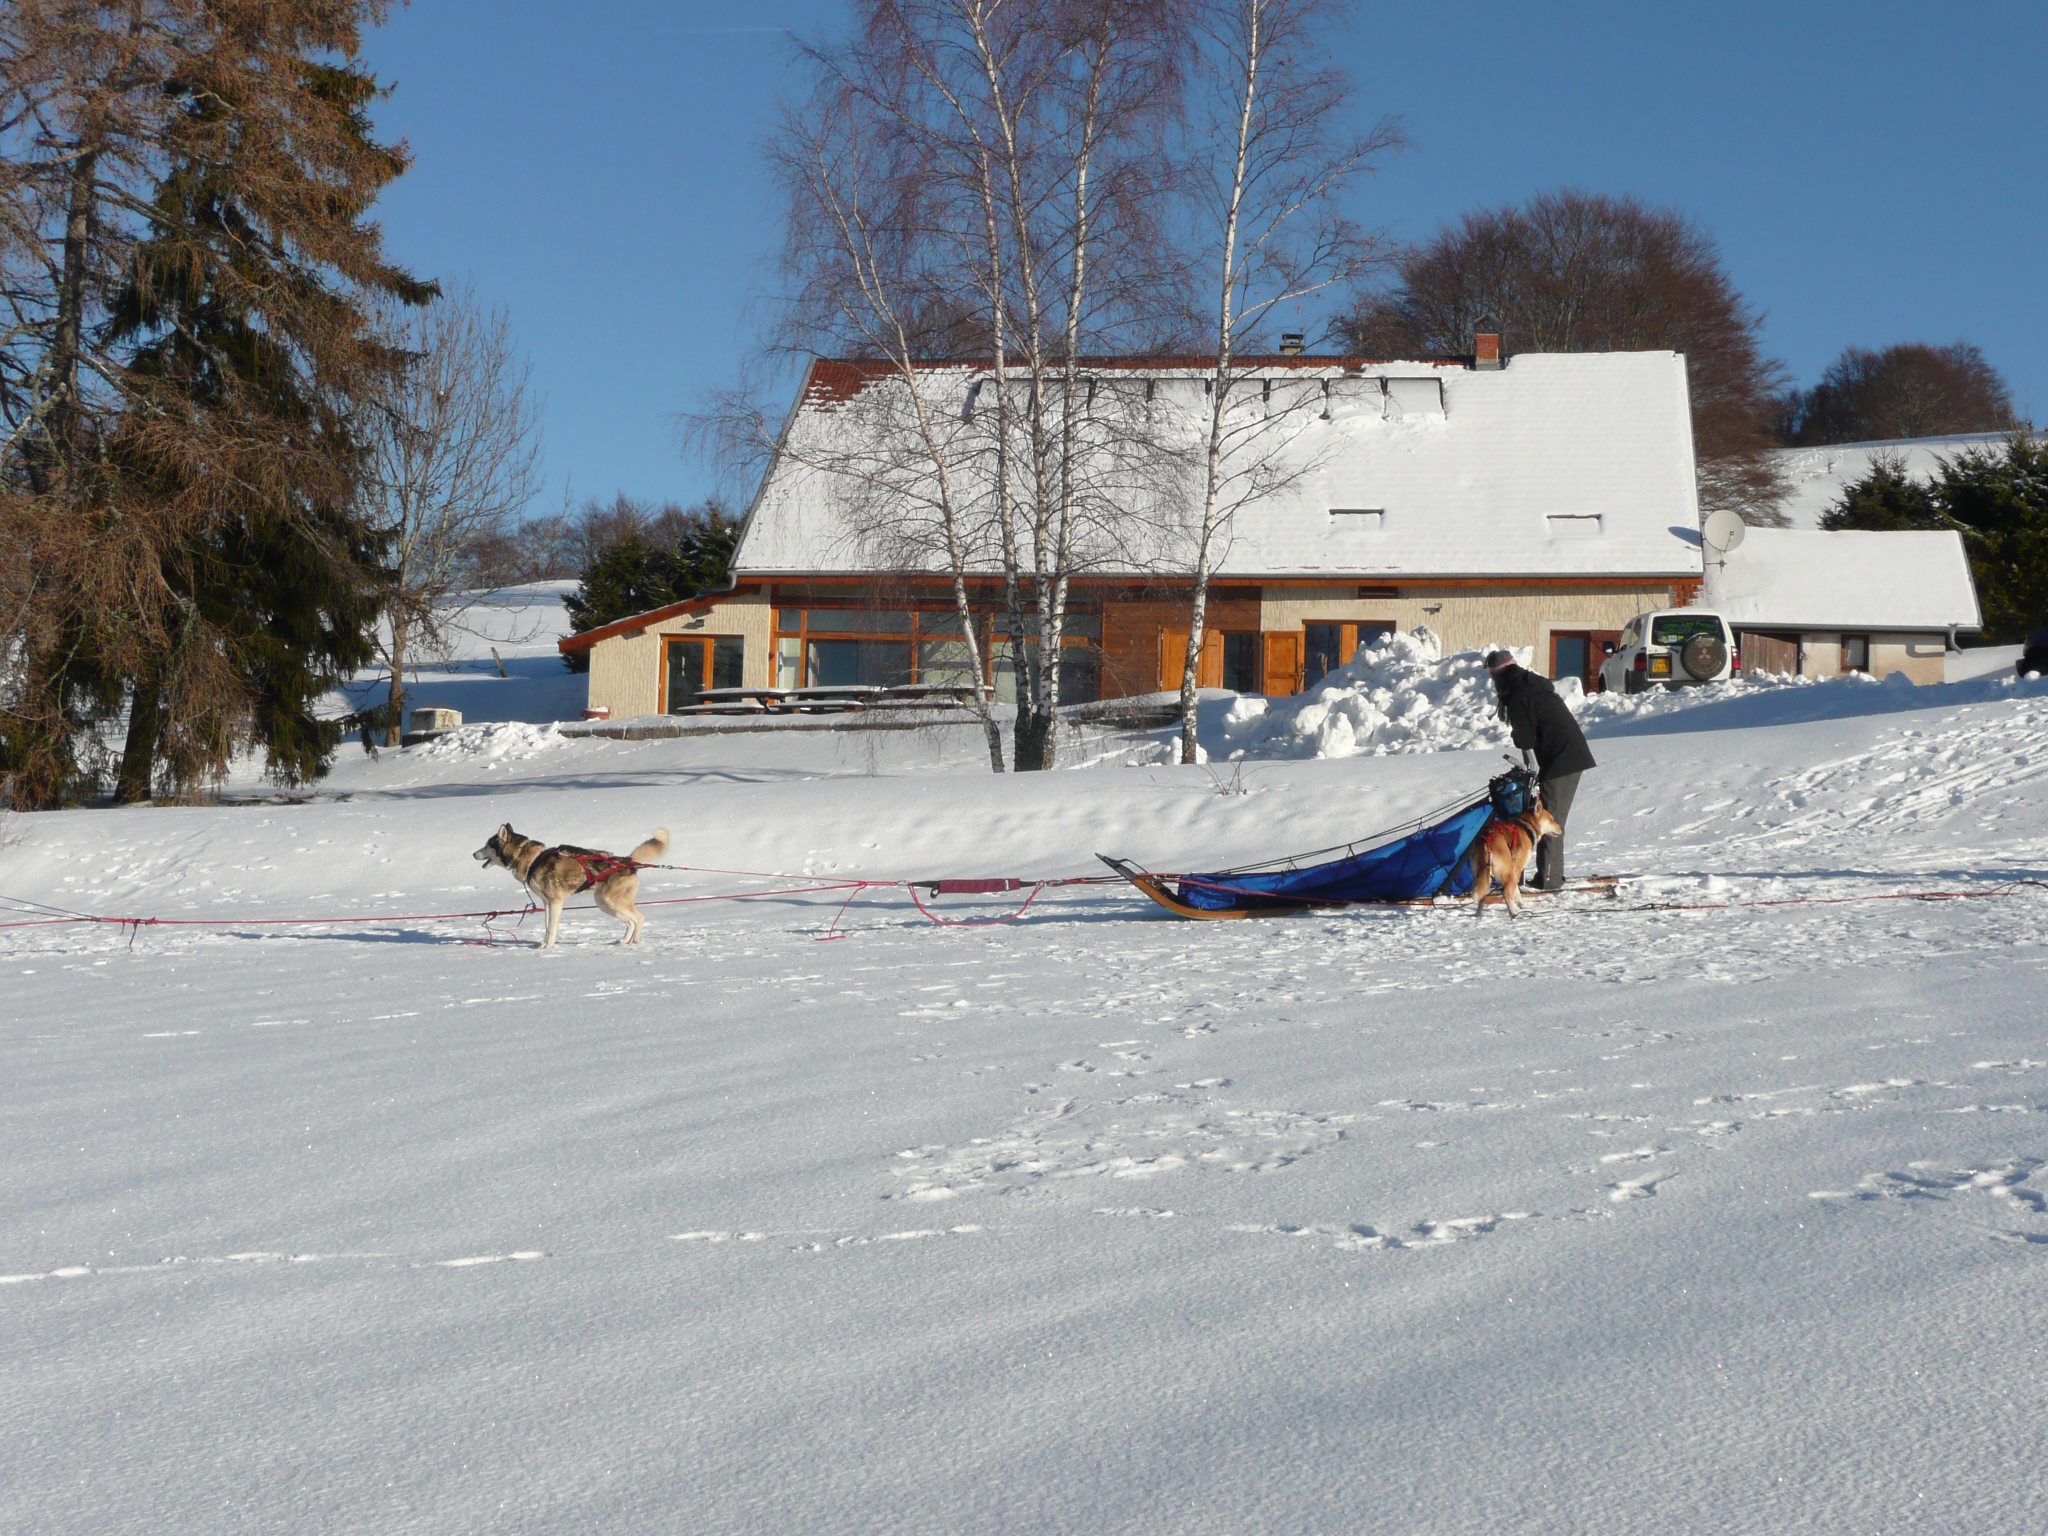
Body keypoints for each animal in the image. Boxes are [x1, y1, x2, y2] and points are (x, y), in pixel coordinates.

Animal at [468, 831, 663, 950]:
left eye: (487, 844)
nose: (473, 854)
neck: (533, 860)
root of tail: (627, 861)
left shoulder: (556, 902)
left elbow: (552, 928)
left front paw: (549, 947)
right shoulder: (547, 903)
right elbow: (547, 927)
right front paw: (543, 945)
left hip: (611, 901)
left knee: (638, 918)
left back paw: (635, 940)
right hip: (604, 903)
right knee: (630, 922)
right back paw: (625, 940)